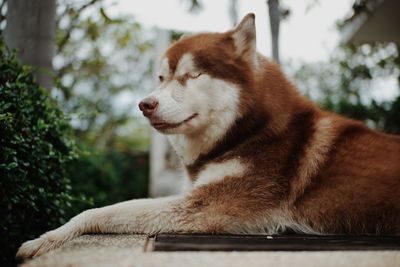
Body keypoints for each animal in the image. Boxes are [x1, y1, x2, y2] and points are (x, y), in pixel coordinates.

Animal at [16, 13, 400, 260]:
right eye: (161, 78)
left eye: (192, 75)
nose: (144, 104)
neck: (250, 132)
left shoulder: (205, 207)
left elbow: (102, 211)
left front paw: (45, 239)